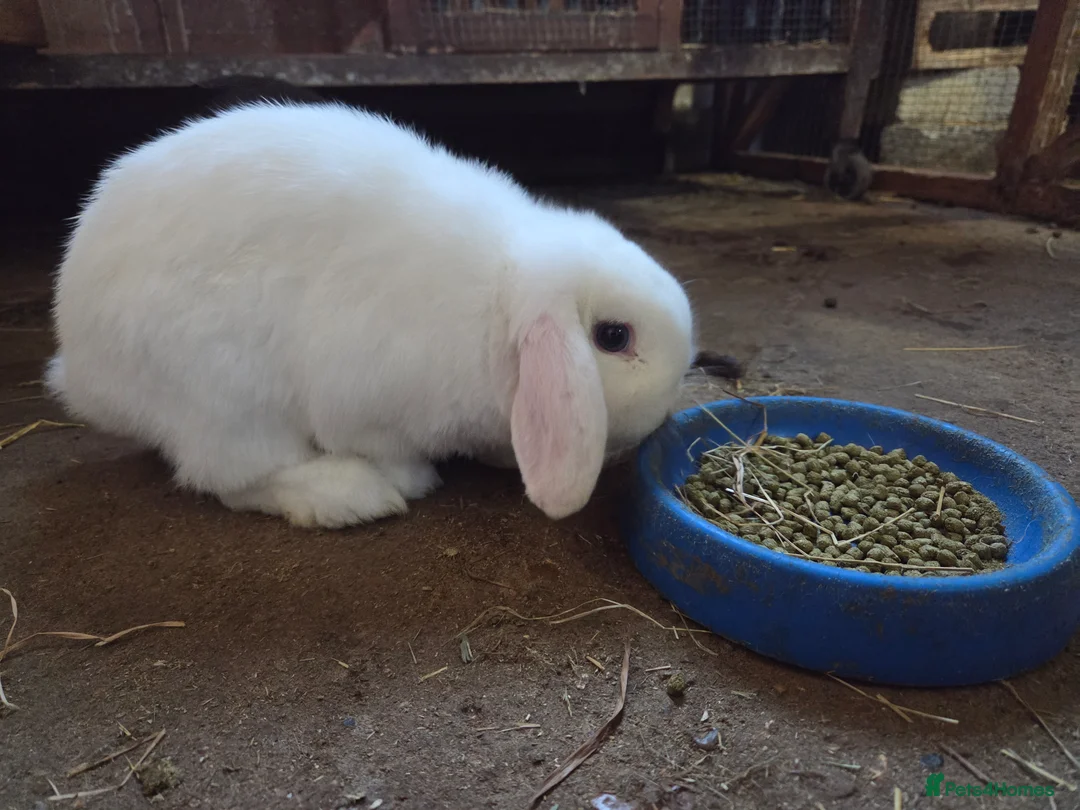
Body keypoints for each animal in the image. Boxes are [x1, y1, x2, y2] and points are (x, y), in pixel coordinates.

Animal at [46, 101, 695, 529]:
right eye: (613, 336)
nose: (669, 405)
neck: (497, 302)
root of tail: (81, 369)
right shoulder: (365, 403)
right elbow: (381, 444)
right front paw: (412, 479)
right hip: (225, 392)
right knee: (231, 476)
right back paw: (349, 496)